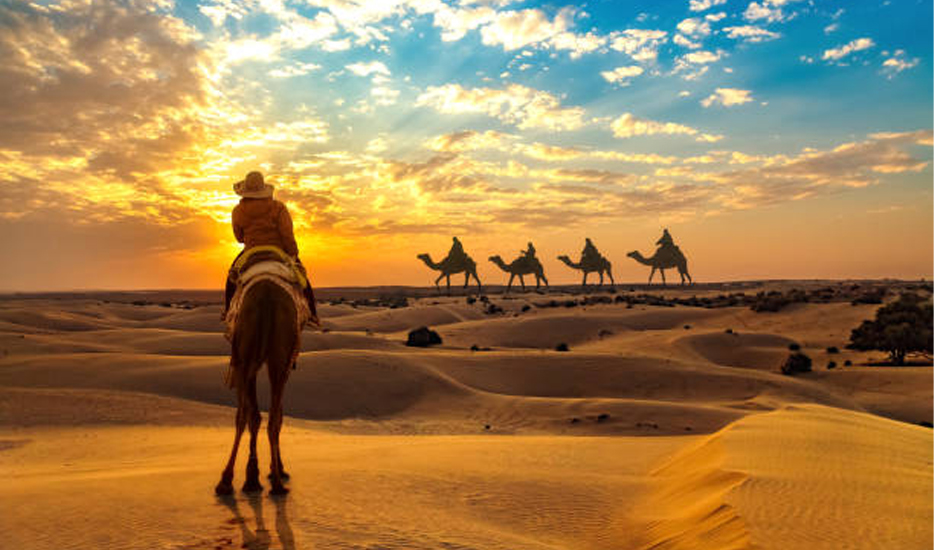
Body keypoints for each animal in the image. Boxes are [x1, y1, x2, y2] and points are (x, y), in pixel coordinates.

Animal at [216, 280, 296, 496]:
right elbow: (268, 415)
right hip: (277, 357)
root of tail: (267, 296)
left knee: (244, 414)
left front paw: (252, 476)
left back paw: (226, 480)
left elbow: (253, 415)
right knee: (272, 416)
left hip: (247, 357)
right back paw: (276, 482)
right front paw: (261, 473)